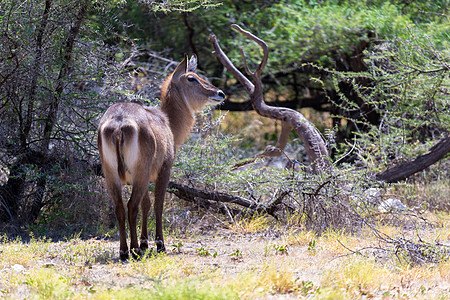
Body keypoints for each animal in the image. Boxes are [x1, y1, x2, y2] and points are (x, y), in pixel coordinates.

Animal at [98, 54, 225, 260]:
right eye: (192, 78)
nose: (220, 93)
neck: (168, 121)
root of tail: (118, 124)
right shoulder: (164, 170)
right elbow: (158, 204)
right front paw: (158, 244)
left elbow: (146, 204)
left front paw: (145, 242)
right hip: (140, 171)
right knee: (131, 206)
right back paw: (134, 250)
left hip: (111, 174)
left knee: (119, 206)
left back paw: (124, 251)